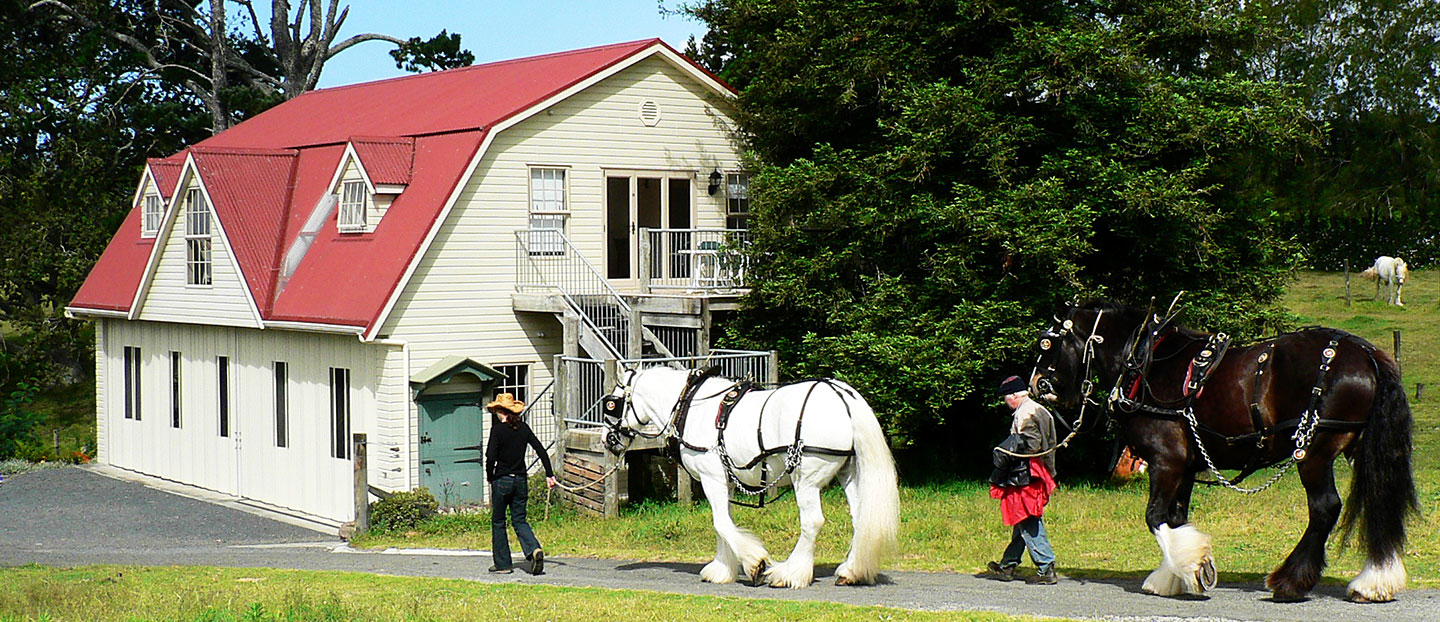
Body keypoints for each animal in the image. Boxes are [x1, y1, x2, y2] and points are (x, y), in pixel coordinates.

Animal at [604, 364, 898, 587]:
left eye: (612, 405)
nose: (608, 440)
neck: (689, 405)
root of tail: (841, 395)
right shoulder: (726, 482)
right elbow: (724, 523)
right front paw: (722, 569)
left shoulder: (712, 478)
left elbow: (721, 523)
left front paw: (755, 563)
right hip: (848, 473)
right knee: (859, 518)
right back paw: (851, 570)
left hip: (806, 479)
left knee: (812, 521)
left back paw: (789, 573)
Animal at [1036, 300, 1416, 601]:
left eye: (1047, 343)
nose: (1037, 385)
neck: (1144, 363)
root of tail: (1366, 354)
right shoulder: (1186, 466)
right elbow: (1176, 517)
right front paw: (1178, 575)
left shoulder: (1166, 460)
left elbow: (1155, 517)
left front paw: (1191, 566)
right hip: (1358, 449)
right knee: (1378, 499)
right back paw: (1374, 581)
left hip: (1315, 450)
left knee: (1325, 507)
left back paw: (1290, 582)